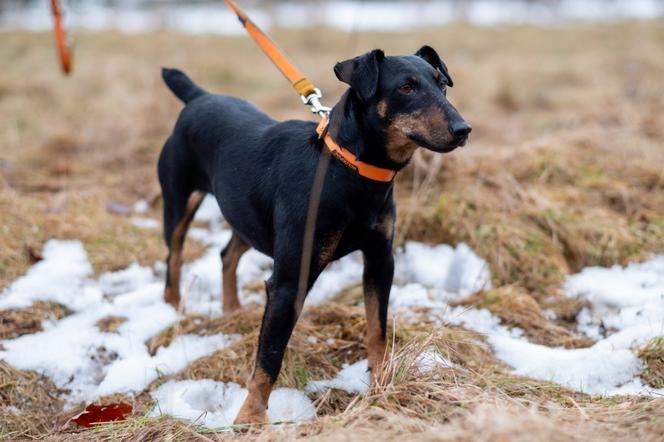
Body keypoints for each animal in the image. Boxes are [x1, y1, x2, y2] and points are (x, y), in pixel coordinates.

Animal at [158, 45, 470, 424]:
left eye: (442, 85)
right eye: (406, 88)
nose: (463, 129)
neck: (349, 169)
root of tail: (199, 96)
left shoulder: (380, 260)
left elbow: (377, 328)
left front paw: (382, 384)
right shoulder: (290, 281)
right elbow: (270, 355)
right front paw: (250, 418)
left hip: (247, 214)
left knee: (227, 254)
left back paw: (232, 310)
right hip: (180, 200)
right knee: (174, 256)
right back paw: (173, 309)